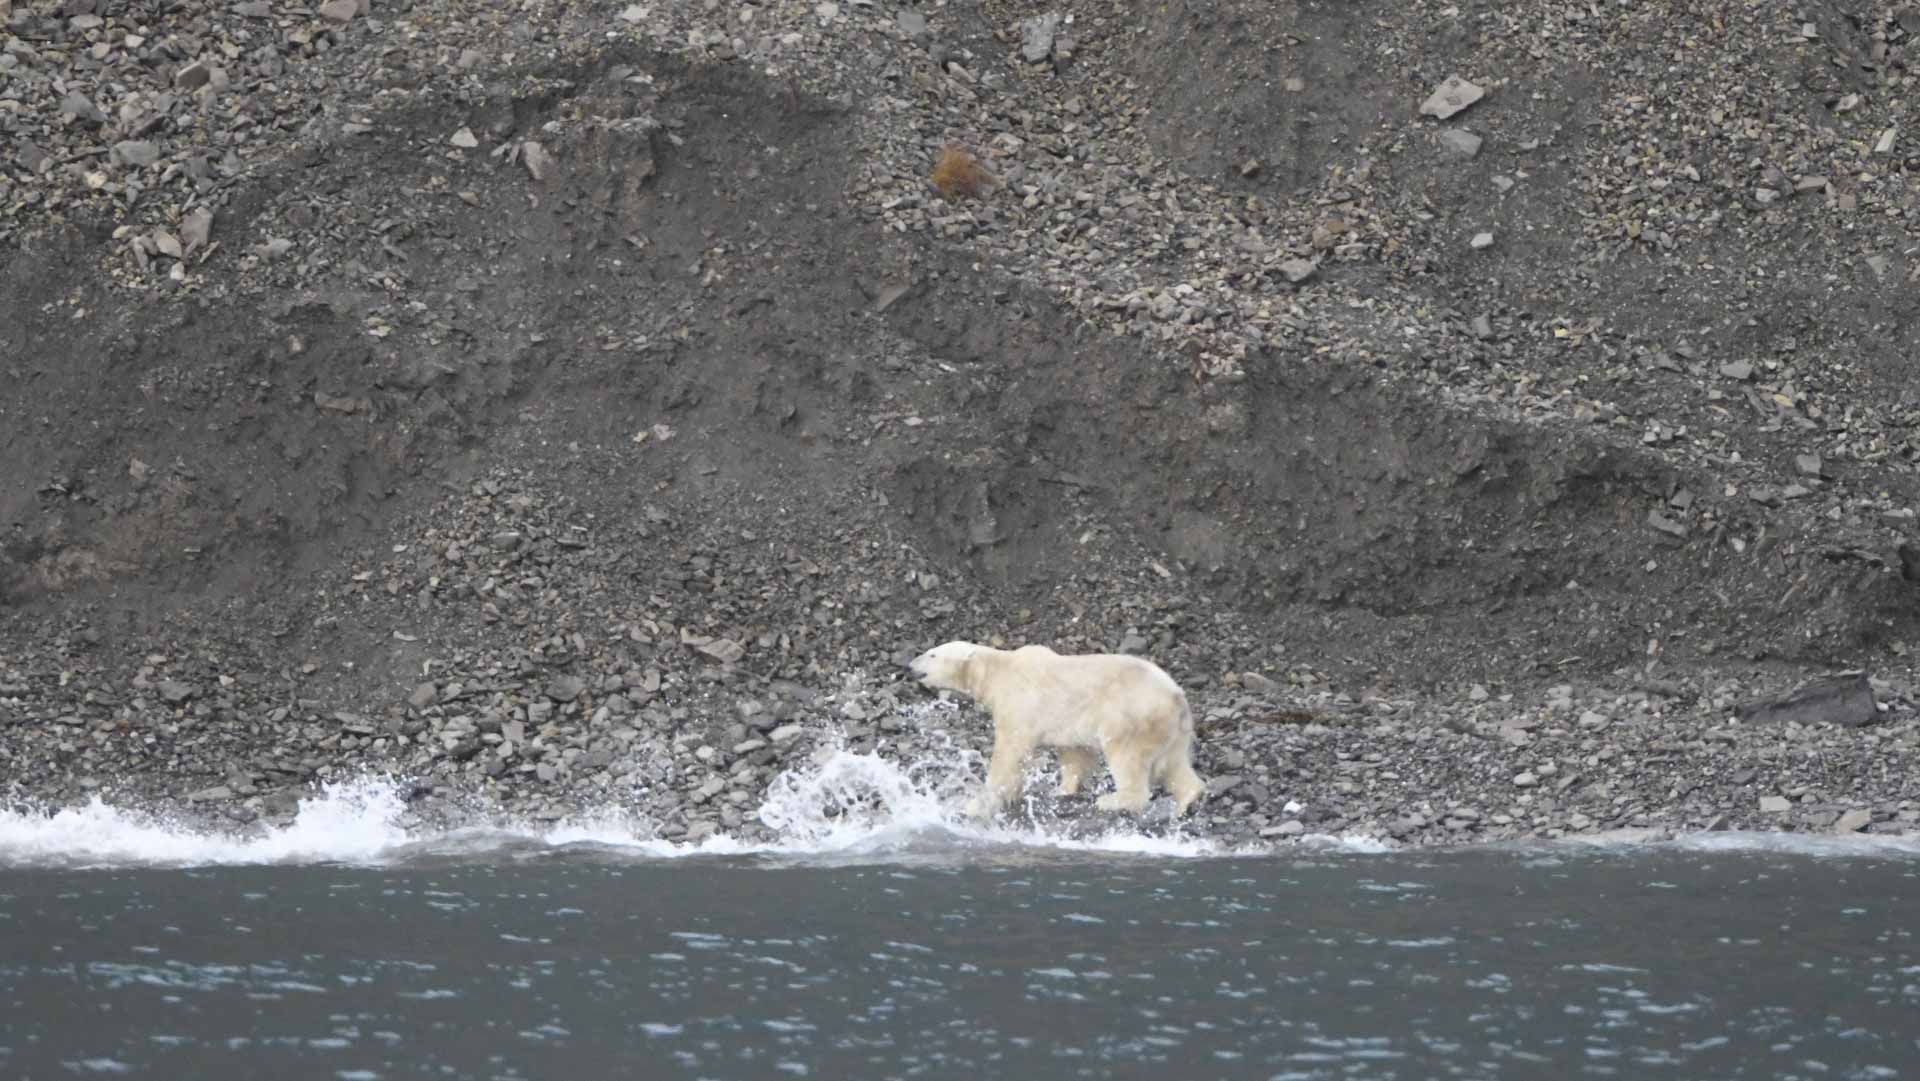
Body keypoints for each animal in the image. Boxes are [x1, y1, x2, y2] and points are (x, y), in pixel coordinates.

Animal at [906, 640, 1207, 819]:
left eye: (932, 653)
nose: (910, 665)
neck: (996, 670)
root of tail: (1176, 696)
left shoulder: (1018, 702)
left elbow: (1010, 750)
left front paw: (978, 802)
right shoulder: (1070, 723)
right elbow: (1074, 753)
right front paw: (1060, 790)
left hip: (1131, 717)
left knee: (1127, 758)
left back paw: (1113, 800)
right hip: (1173, 728)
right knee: (1174, 763)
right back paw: (1185, 801)